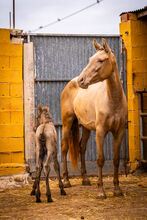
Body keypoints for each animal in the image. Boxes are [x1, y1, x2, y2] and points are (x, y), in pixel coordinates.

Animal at [60, 38, 127, 199]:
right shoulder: (100, 132)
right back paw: (66, 181)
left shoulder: (119, 132)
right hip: (67, 123)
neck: (113, 100)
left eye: (101, 60)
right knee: (64, 148)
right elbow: (100, 160)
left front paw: (117, 189)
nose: (81, 80)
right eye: (90, 59)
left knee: (81, 148)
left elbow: (116, 160)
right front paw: (101, 191)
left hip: (85, 127)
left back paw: (85, 179)